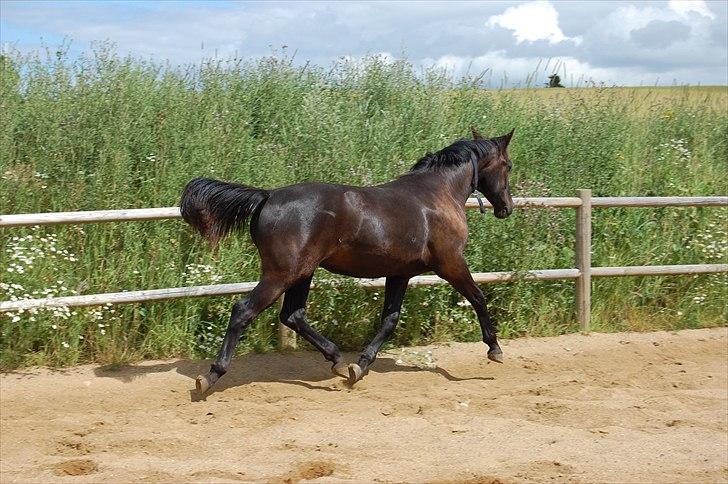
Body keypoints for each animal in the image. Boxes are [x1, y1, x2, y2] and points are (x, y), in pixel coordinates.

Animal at [180, 126, 516, 392]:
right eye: (508, 165)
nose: (506, 208)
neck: (437, 195)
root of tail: (268, 196)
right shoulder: (450, 263)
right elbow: (478, 297)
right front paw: (495, 349)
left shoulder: (400, 273)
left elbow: (389, 320)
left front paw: (360, 366)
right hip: (282, 273)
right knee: (244, 310)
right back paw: (210, 376)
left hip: (302, 272)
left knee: (292, 315)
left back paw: (339, 362)